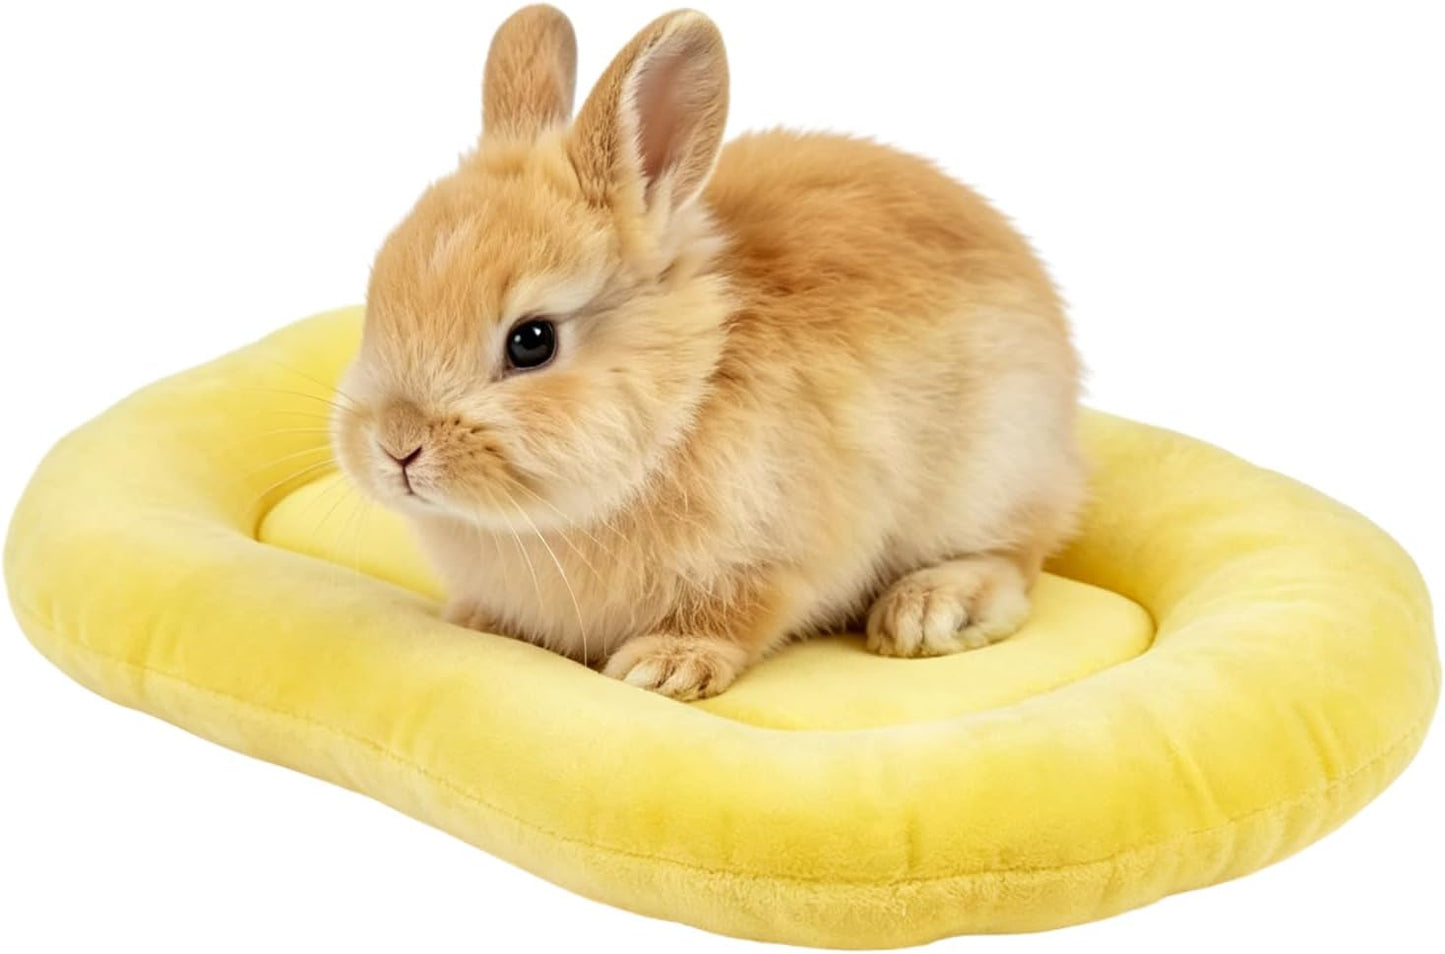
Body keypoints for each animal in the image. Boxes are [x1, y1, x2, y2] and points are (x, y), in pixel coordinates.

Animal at [331, 4, 1085, 701]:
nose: (396, 445)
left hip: (993, 475)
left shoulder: (779, 556)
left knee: (1015, 562)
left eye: (532, 342)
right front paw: (473, 621)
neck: (688, 390)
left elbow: (739, 612)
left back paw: (927, 611)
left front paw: (663, 666)